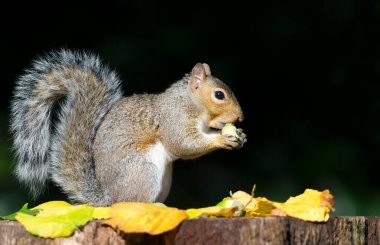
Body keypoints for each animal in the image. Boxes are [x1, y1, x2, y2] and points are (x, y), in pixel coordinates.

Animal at [11, 50, 246, 207]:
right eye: (219, 95)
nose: (240, 117)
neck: (191, 103)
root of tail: (108, 198)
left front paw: (239, 135)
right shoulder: (174, 119)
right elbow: (183, 144)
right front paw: (222, 139)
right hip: (143, 172)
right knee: (132, 202)